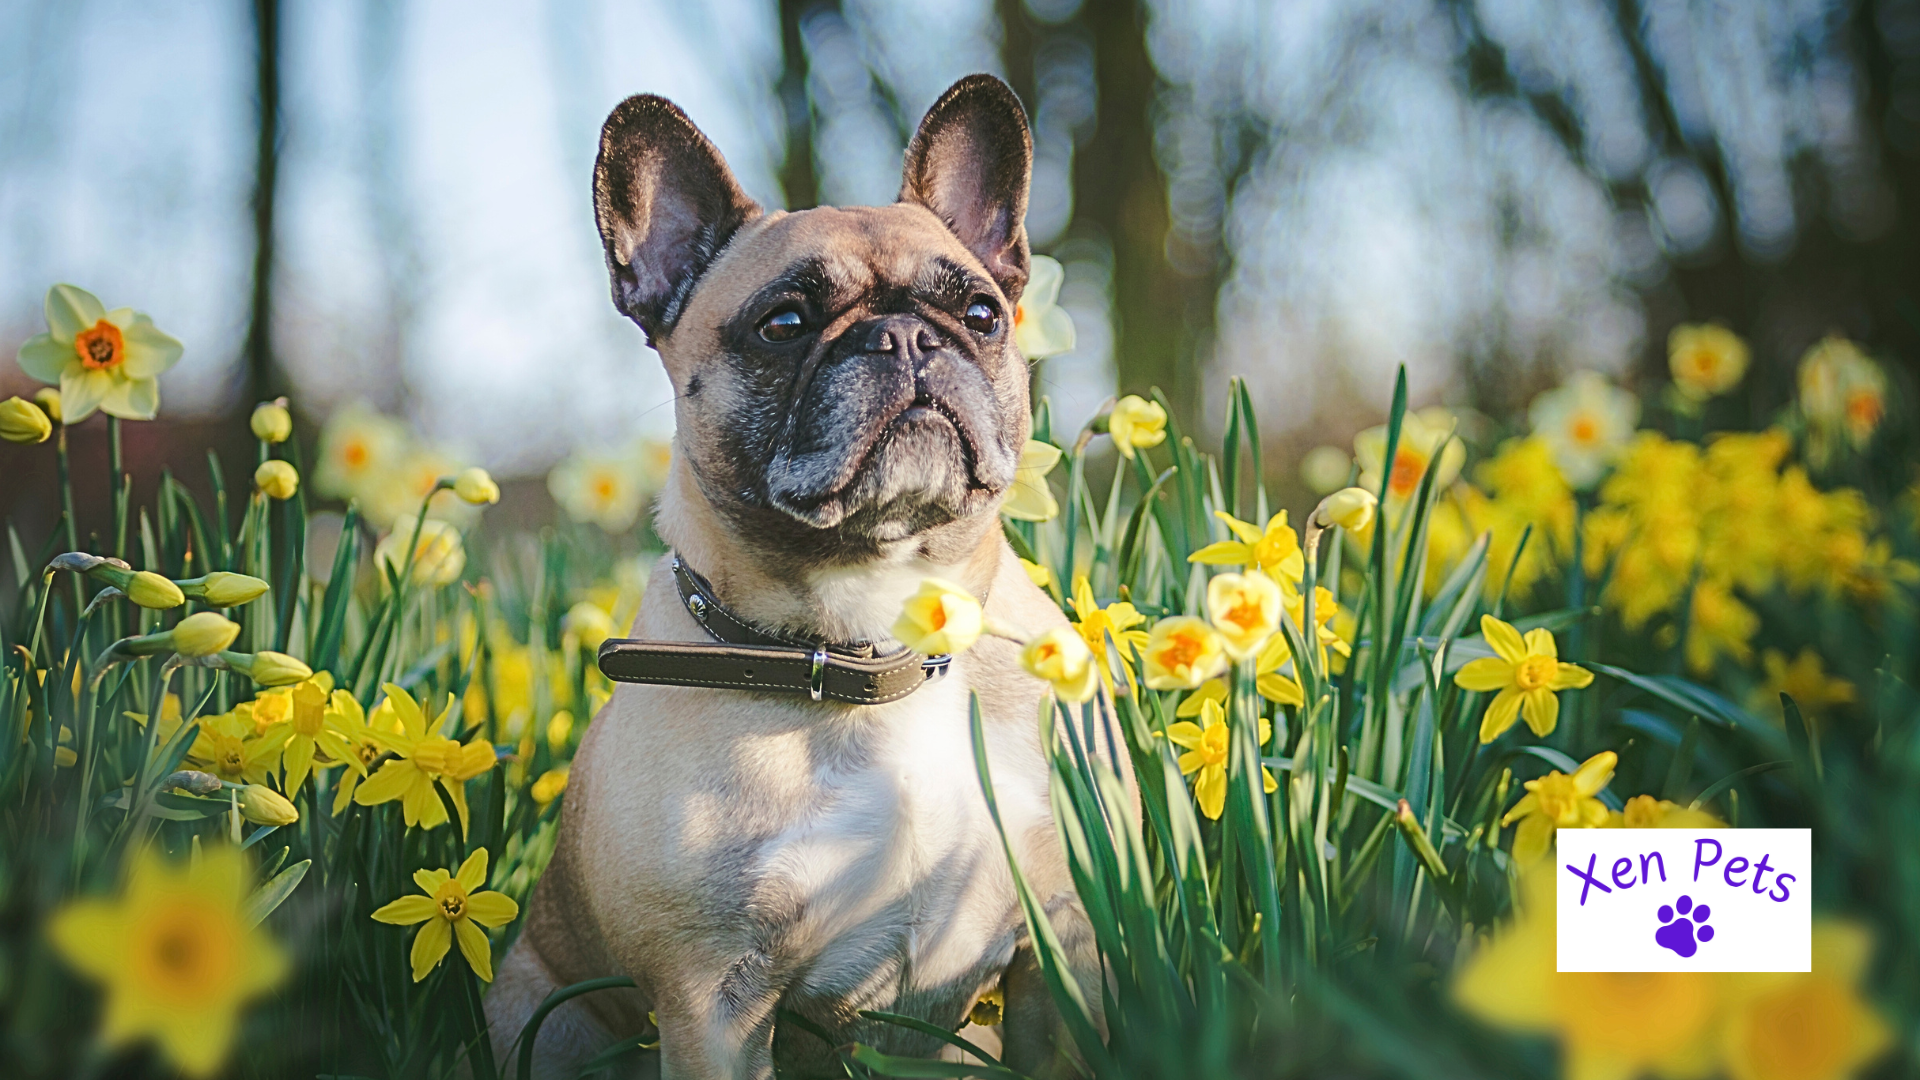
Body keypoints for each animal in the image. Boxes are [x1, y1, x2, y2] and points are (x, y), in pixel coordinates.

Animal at [487, 75, 1121, 1076]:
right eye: (783, 325)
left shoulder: (1061, 946)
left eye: (982, 315)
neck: (879, 642)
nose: (904, 338)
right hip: (542, 1015)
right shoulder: (711, 1001)